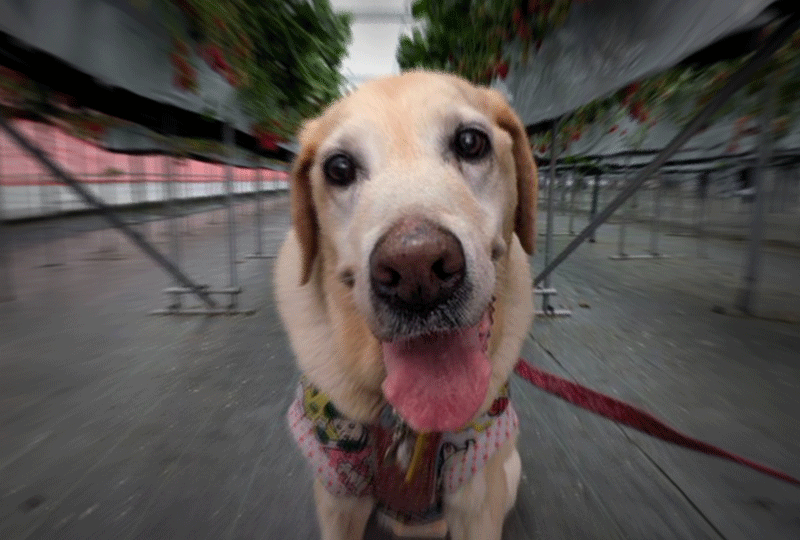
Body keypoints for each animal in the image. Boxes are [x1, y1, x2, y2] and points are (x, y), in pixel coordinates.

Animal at [276, 70, 537, 540]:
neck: (406, 425)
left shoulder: (478, 502)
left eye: (470, 142)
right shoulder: (337, 497)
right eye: (338, 168)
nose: (417, 270)